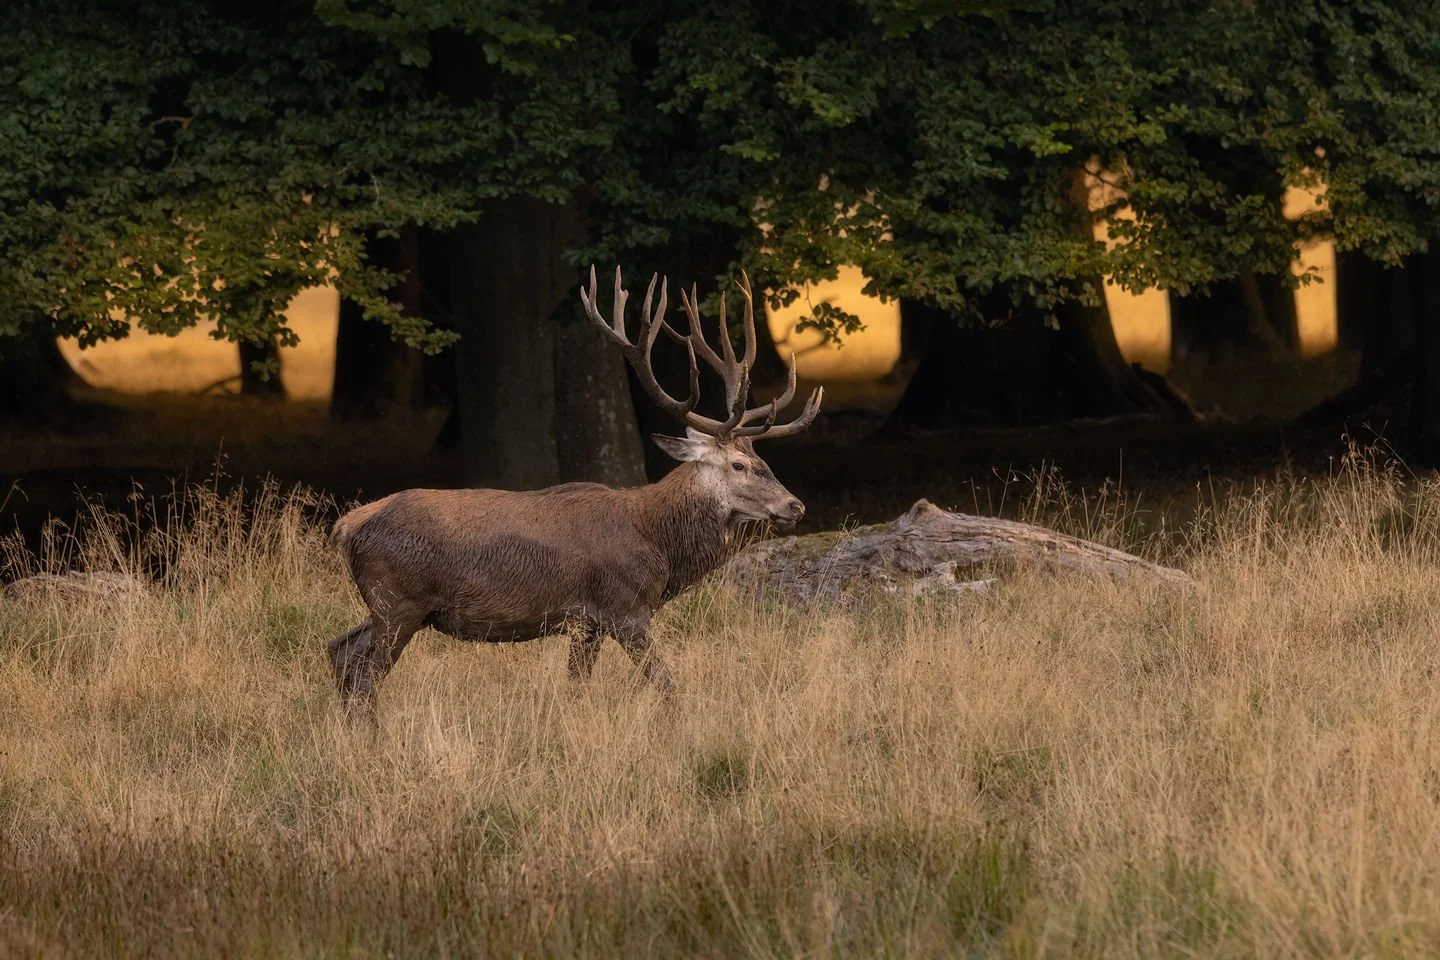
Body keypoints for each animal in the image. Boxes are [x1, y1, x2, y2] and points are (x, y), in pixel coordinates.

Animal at [325, 265, 823, 709]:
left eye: (764, 462)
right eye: (739, 465)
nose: (795, 505)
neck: (657, 541)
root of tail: (347, 527)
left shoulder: (587, 622)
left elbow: (577, 686)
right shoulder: (623, 607)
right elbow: (666, 683)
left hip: (389, 608)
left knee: (338, 651)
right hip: (399, 601)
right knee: (363, 673)